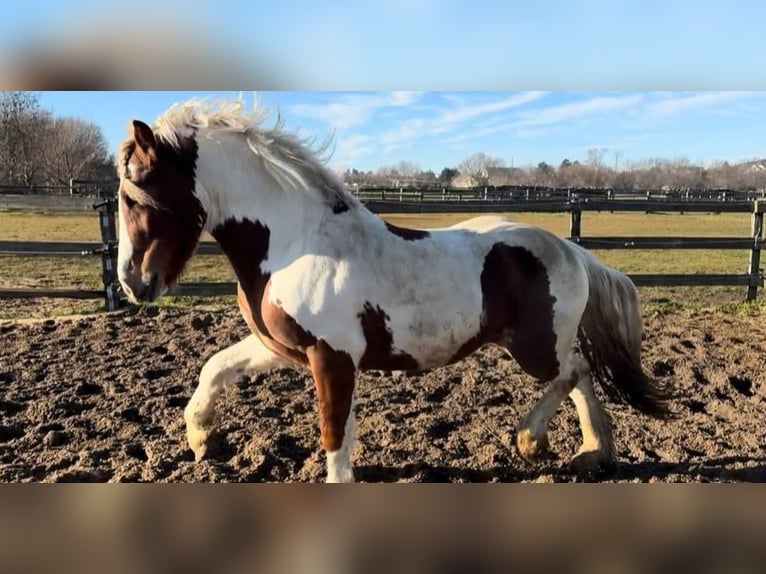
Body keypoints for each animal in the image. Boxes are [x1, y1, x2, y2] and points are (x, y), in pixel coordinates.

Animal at [115, 97, 674, 482]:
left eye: (134, 195)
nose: (132, 282)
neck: (297, 242)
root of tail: (572, 251)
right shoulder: (284, 347)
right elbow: (215, 368)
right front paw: (199, 438)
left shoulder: (332, 357)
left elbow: (334, 432)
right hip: (544, 343)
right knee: (581, 376)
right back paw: (592, 453)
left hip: (536, 347)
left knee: (574, 371)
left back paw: (532, 440)